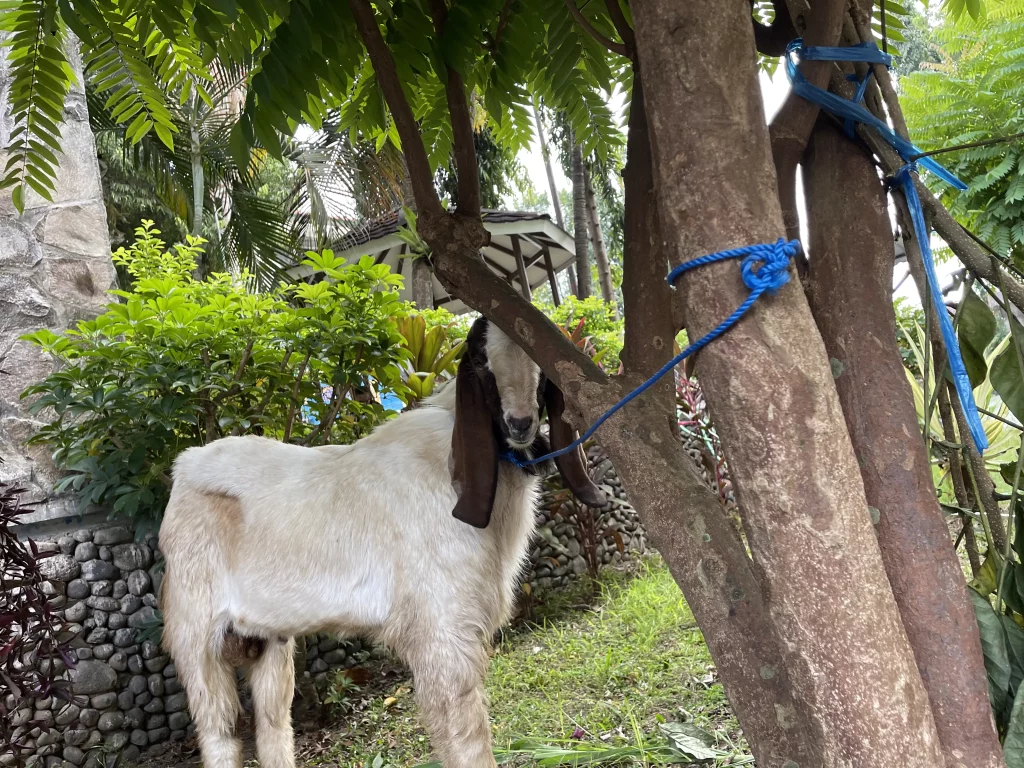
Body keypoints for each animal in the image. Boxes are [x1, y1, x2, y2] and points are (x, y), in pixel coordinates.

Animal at [156, 319, 602, 768]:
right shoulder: (443, 630)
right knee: (220, 733)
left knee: (273, 725)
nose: (520, 424)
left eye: (540, 364)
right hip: (198, 637)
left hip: (269, 640)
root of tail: (183, 468)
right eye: (479, 360)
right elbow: (465, 735)